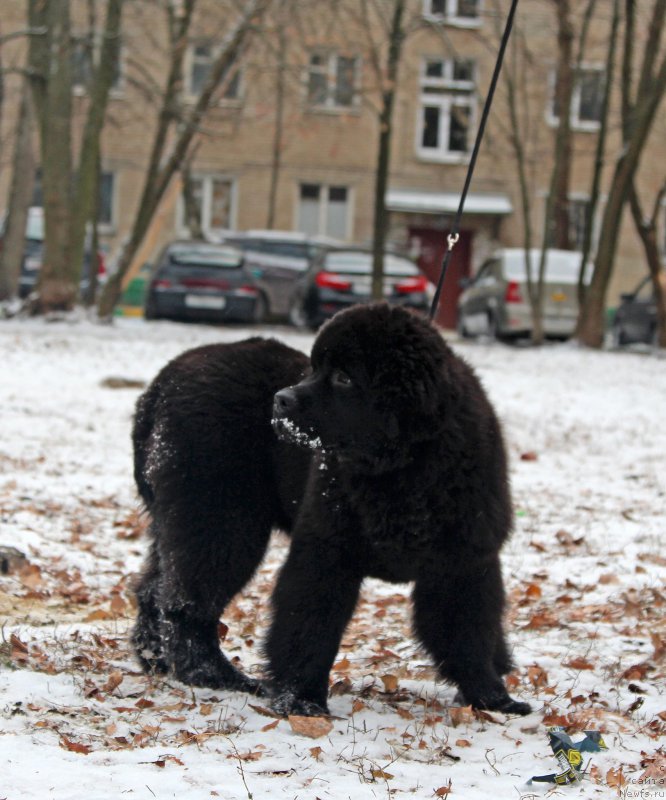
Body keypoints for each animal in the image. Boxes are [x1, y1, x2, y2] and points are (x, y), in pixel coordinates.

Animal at [132, 304, 528, 716]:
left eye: (343, 378)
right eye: (314, 368)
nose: (281, 399)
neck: (404, 468)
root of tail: (161, 384)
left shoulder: (462, 562)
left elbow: (468, 631)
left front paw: (491, 697)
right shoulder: (325, 550)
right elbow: (310, 623)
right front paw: (301, 699)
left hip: (185, 518)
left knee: (155, 589)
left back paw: (156, 659)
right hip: (220, 519)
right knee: (186, 600)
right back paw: (214, 675)